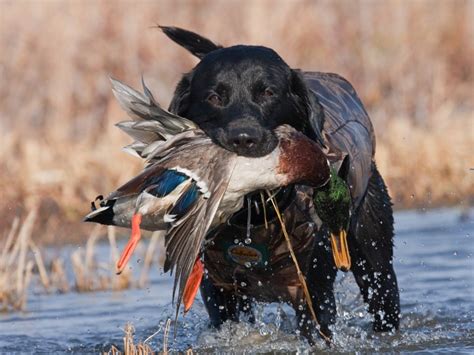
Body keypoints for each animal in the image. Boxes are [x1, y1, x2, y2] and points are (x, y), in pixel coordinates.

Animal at [161, 25, 398, 344]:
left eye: (268, 92)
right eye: (214, 97)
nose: (243, 138)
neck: (253, 216)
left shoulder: (314, 293)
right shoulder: (219, 292)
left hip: (376, 263)